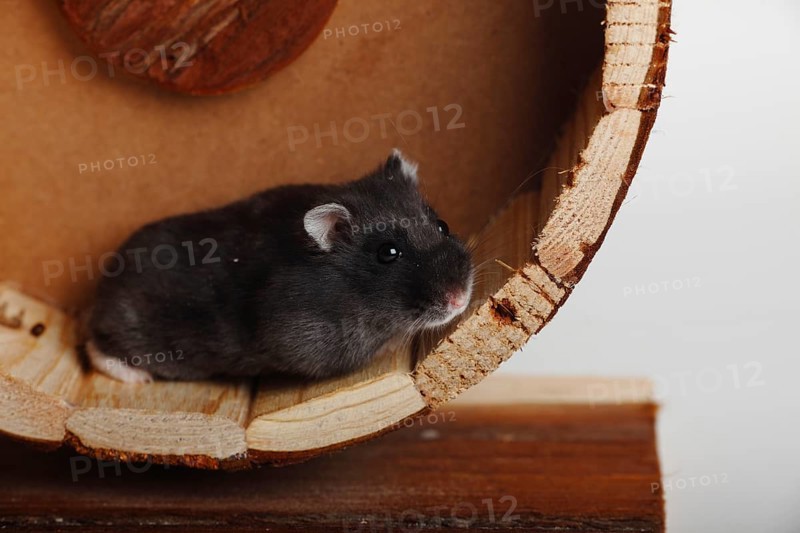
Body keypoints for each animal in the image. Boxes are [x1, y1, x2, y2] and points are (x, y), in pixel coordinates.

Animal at [85, 150, 474, 383]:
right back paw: (139, 378)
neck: (354, 291)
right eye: (388, 253)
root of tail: (101, 284)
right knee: (95, 346)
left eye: (442, 226)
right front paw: (394, 345)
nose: (460, 300)